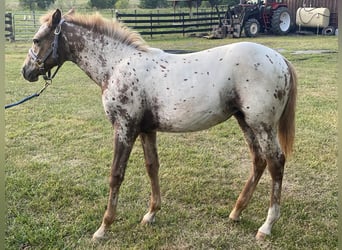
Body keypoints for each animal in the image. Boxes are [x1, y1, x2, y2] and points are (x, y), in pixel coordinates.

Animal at [22, 9, 296, 240]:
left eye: (36, 40)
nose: (26, 71)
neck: (116, 65)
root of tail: (281, 59)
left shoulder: (124, 128)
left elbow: (116, 175)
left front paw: (103, 227)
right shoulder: (146, 130)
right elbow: (152, 167)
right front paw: (151, 214)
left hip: (262, 126)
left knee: (276, 163)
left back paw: (266, 226)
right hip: (245, 121)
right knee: (258, 161)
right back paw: (236, 212)